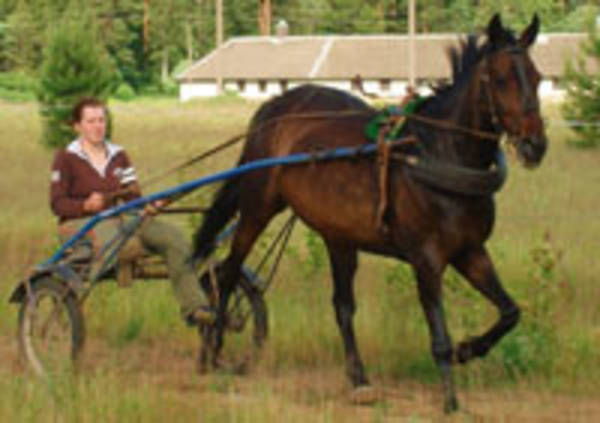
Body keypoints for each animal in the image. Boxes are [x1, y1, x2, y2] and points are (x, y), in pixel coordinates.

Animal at [193, 14, 547, 413]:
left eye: (537, 77)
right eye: (501, 78)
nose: (535, 145)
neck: (439, 154)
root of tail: (273, 108)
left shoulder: (470, 251)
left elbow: (510, 312)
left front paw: (468, 349)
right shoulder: (425, 258)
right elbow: (439, 335)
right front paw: (451, 398)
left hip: (339, 236)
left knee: (342, 306)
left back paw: (359, 379)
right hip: (257, 207)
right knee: (228, 273)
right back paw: (213, 344)